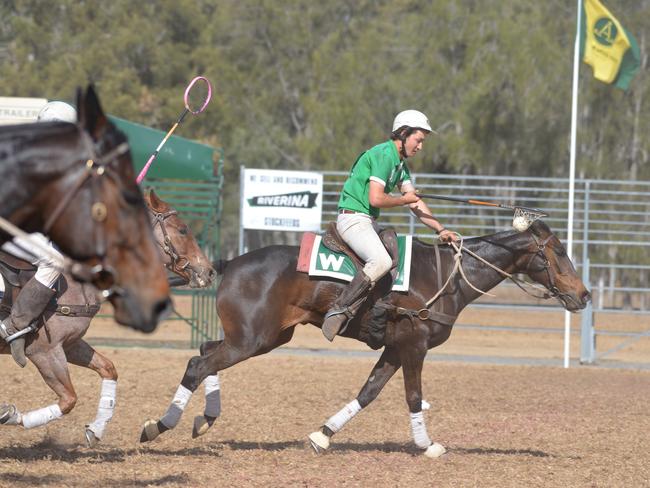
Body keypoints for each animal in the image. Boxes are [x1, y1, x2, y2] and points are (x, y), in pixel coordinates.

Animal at [0, 189, 215, 444]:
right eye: (182, 229)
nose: (209, 272)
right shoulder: (44, 351)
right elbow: (69, 399)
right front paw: (9, 414)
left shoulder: (70, 345)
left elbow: (108, 369)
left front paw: (96, 428)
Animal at [140, 221, 588, 458]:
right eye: (559, 252)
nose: (583, 295)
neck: (447, 277)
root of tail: (229, 261)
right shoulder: (414, 345)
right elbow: (412, 396)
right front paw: (427, 445)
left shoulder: (394, 347)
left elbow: (368, 392)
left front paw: (323, 435)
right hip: (251, 339)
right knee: (198, 363)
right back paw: (158, 426)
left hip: (264, 337)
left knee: (204, 353)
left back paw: (204, 419)